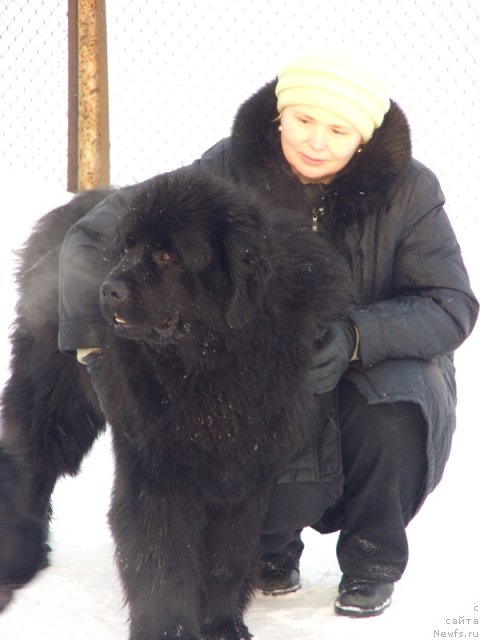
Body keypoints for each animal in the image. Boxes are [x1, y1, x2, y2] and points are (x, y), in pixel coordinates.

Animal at [0, 169, 346, 640]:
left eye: (167, 256)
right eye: (127, 248)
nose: (109, 289)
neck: (214, 366)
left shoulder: (248, 470)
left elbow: (228, 556)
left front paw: (223, 625)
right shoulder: (156, 468)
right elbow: (163, 557)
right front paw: (169, 630)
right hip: (56, 392)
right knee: (33, 454)